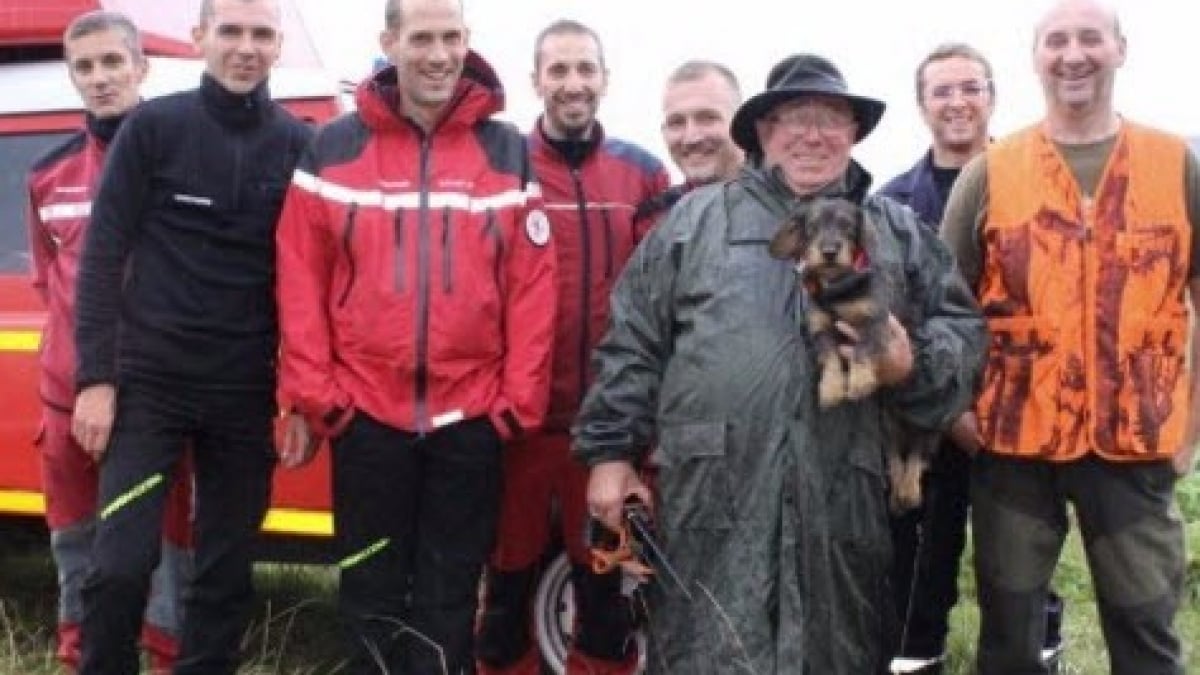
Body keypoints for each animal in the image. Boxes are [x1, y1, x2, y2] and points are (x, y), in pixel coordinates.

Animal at [772, 195, 940, 509]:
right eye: (812, 227)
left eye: (848, 227)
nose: (829, 252)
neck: (838, 290)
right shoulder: (821, 330)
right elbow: (831, 360)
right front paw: (831, 390)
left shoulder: (873, 322)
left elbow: (862, 350)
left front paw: (860, 382)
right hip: (886, 424)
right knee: (895, 453)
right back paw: (896, 490)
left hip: (924, 423)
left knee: (917, 452)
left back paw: (910, 489)